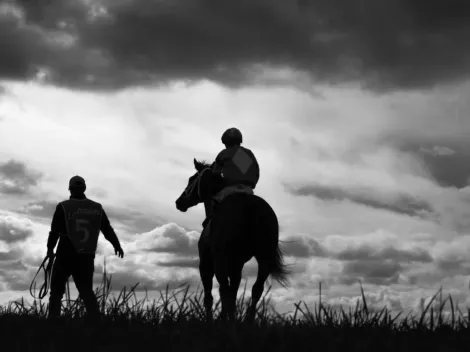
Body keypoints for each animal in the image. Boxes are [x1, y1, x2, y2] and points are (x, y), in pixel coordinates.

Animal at [174, 160, 288, 322]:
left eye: (191, 179)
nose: (179, 202)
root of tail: (252, 207)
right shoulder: (236, 265)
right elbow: (233, 292)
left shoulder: (206, 263)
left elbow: (211, 296)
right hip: (263, 258)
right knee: (256, 289)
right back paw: (247, 320)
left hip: (220, 261)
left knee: (224, 289)